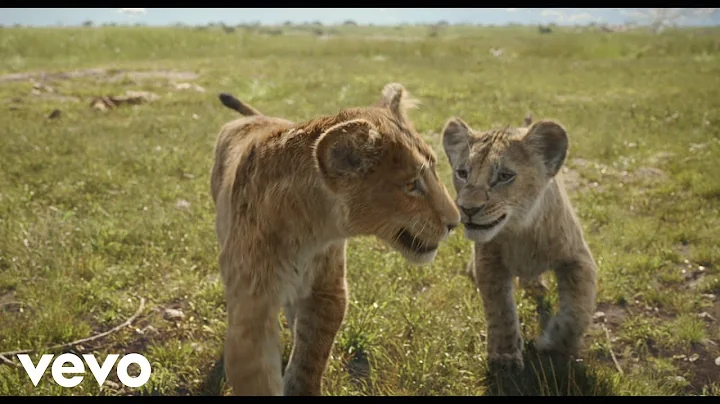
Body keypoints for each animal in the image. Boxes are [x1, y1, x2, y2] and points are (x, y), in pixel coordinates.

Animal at [210, 83, 461, 395]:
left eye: (435, 170)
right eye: (412, 185)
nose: (455, 222)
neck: (307, 233)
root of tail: (256, 118)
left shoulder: (328, 291)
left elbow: (310, 360)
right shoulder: (251, 309)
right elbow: (258, 377)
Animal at [440, 114, 598, 372]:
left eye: (504, 176)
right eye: (462, 173)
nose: (467, 209)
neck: (521, 229)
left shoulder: (578, 257)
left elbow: (578, 310)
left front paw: (552, 344)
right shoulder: (489, 261)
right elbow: (500, 310)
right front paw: (504, 357)